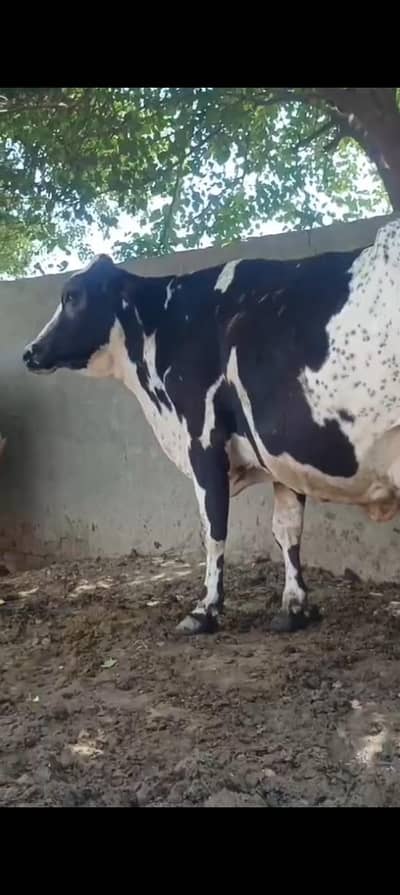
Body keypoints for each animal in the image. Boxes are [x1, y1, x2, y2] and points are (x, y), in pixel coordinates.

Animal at [23, 218, 400, 635]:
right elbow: (287, 529)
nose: (30, 351)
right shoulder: (279, 453)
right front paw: (294, 608)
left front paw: (205, 610)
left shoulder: (202, 440)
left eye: (72, 297)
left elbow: (214, 529)